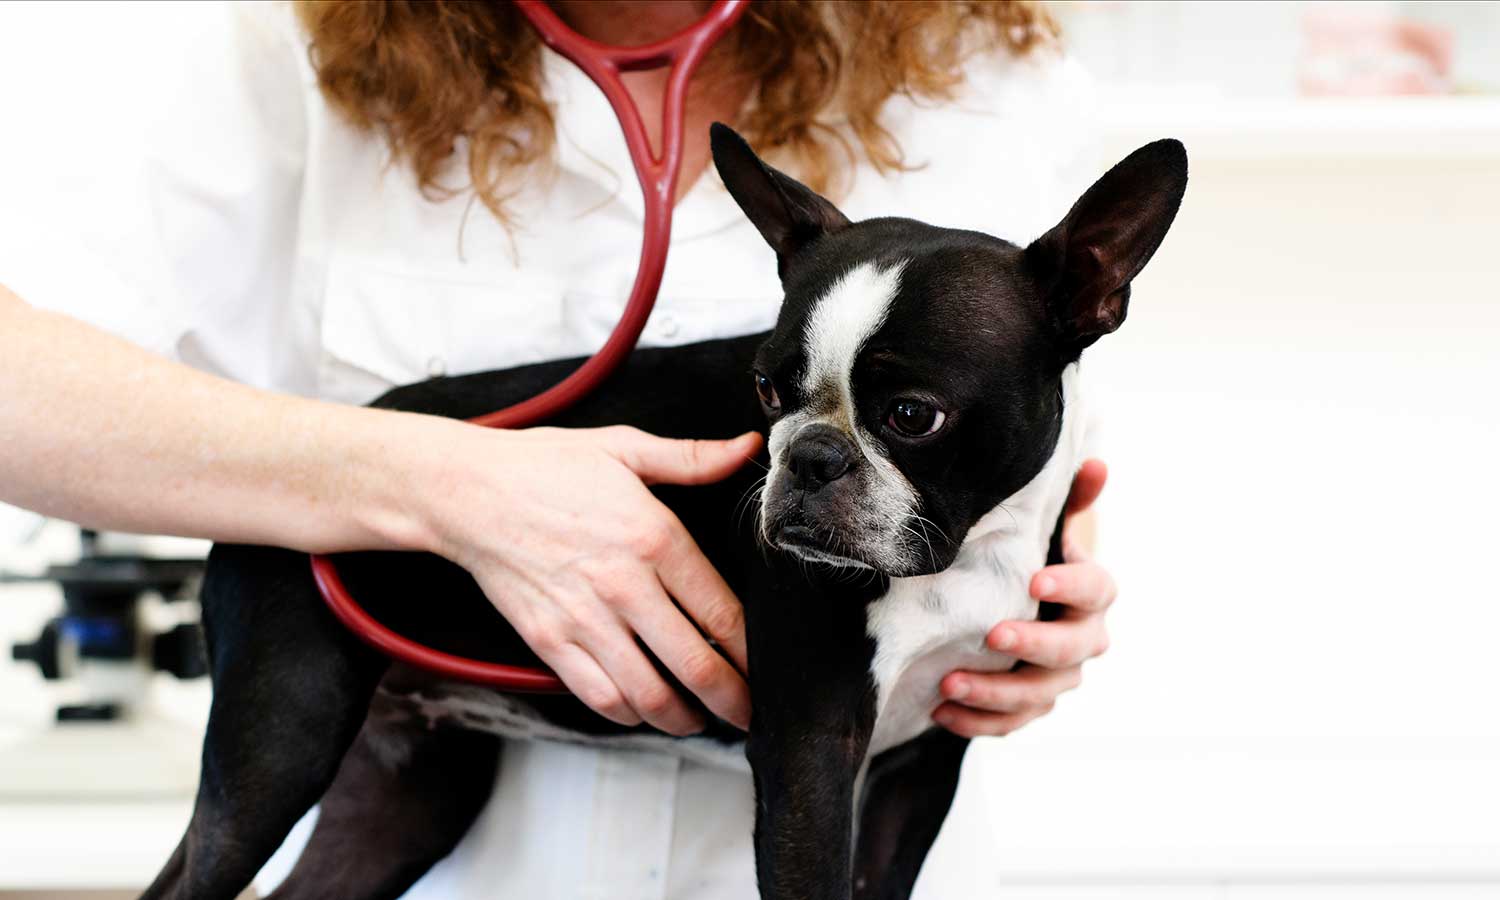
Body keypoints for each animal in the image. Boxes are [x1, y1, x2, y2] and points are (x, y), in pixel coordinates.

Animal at [146, 126, 1188, 900]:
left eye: (912, 416)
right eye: (766, 392)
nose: (807, 458)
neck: (963, 556)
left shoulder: (916, 771)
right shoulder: (813, 761)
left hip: (406, 788)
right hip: (283, 732)